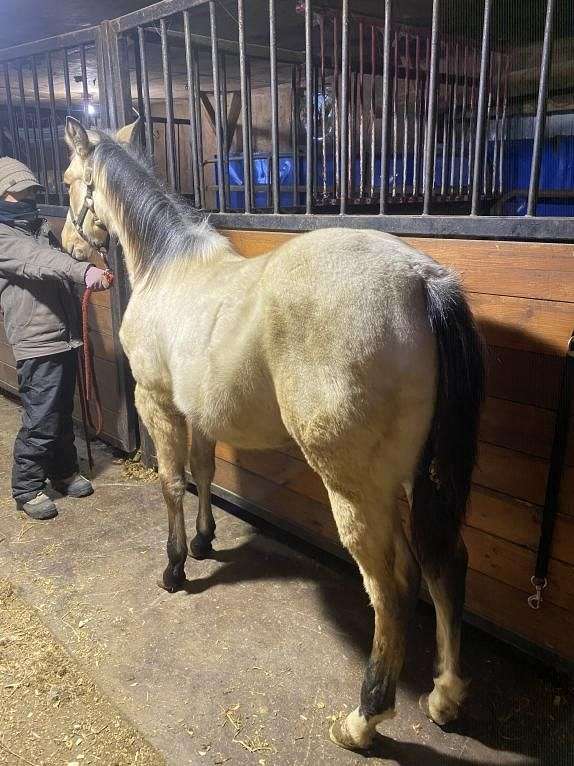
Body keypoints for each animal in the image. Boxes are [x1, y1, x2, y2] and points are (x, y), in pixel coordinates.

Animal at [61, 116, 484, 753]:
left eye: (67, 180)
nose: (68, 243)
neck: (169, 267)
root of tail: (421, 278)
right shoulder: (198, 413)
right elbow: (204, 472)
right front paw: (205, 541)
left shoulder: (158, 404)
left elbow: (171, 483)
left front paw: (175, 569)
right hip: (411, 480)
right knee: (442, 566)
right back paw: (446, 695)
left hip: (356, 488)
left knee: (390, 587)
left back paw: (364, 719)